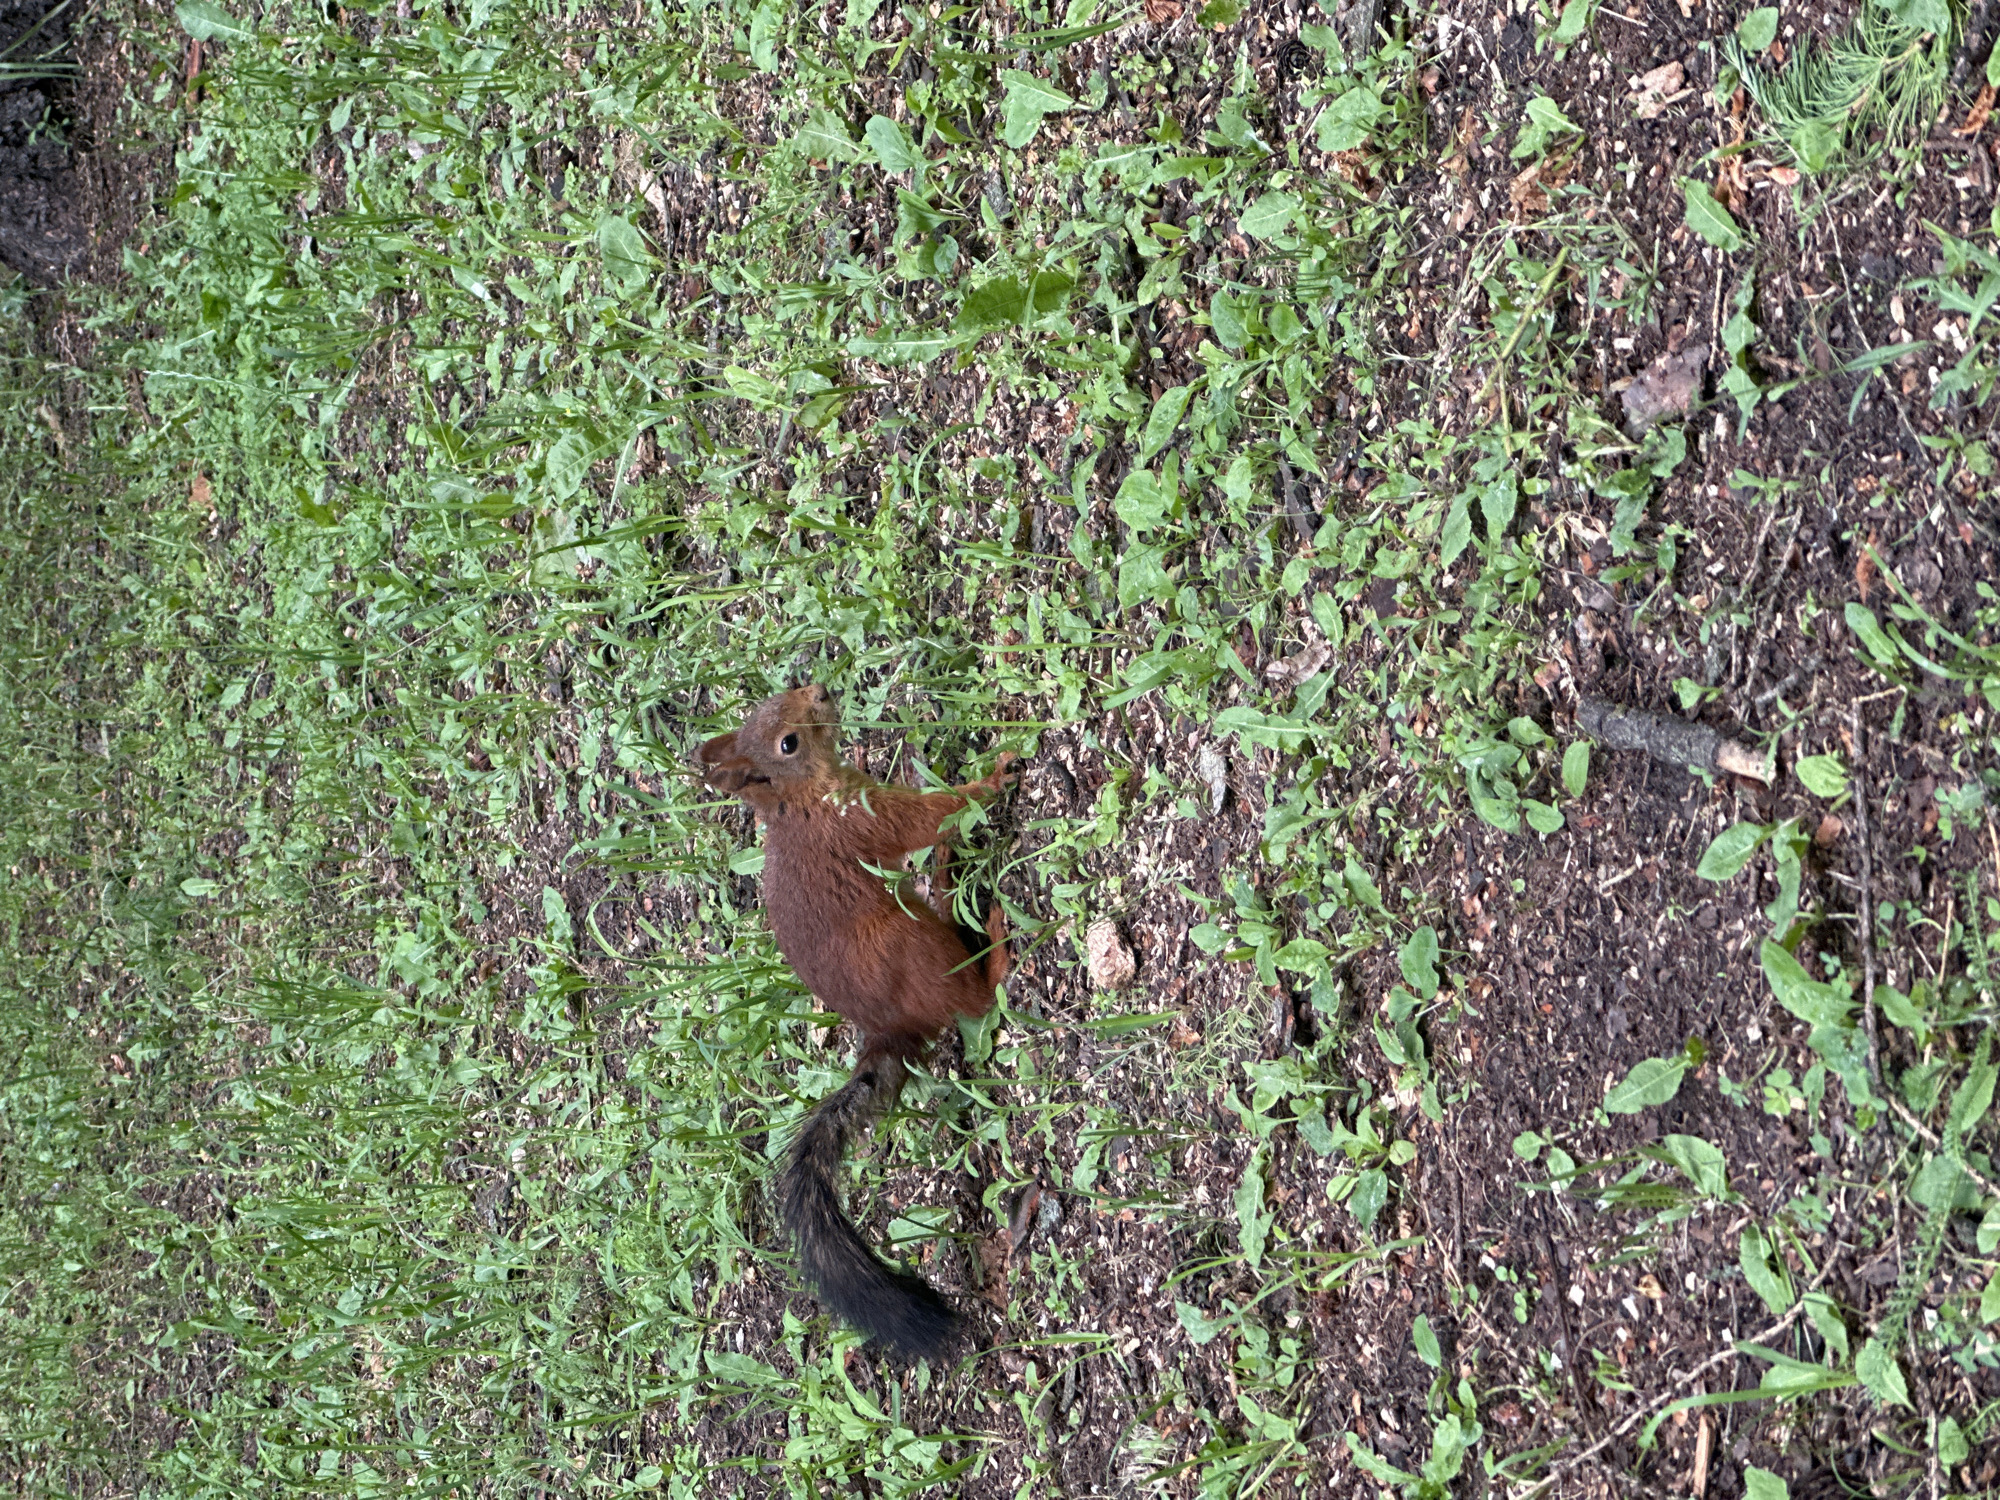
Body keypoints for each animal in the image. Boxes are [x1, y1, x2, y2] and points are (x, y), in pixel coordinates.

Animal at [696, 683, 1017, 1359]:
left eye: (779, 696)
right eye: (787, 742)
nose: (820, 688)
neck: (803, 800)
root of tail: (887, 1036)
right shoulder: (865, 819)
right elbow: (931, 814)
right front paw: (993, 779)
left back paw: (947, 875)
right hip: (909, 942)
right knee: (975, 1002)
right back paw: (997, 943)